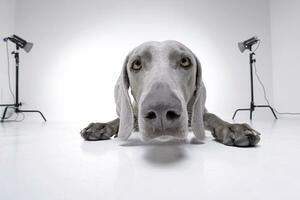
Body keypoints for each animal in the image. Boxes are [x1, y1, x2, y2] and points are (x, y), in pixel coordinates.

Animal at [79, 40, 260, 147]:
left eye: (185, 61)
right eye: (136, 64)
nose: (161, 110)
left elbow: (210, 116)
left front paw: (234, 128)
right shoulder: (134, 112)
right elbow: (125, 118)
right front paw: (100, 126)